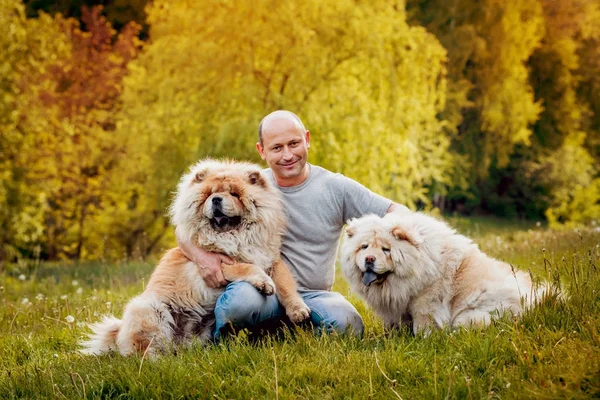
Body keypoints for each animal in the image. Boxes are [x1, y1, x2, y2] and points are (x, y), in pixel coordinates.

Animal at [79, 159, 310, 356]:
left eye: (234, 194)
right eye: (209, 194)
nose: (216, 200)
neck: (236, 237)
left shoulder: (273, 261)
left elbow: (285, 285)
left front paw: (298, 310)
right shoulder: (216, 264)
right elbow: (246, 267)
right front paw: (264, 282)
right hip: (151, 311)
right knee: (146, 348)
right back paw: (156, 361)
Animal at [342, 212, 548, 334]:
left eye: (386, 250)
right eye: (364, 247)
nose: (369, 259)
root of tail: (535, 301)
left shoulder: (426, 300)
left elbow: (423, 321)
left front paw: (422, 338)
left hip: (472, 315)